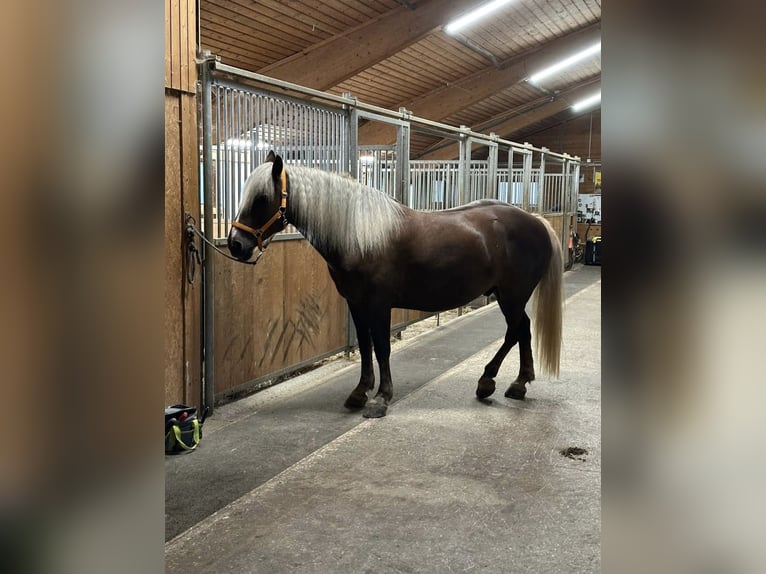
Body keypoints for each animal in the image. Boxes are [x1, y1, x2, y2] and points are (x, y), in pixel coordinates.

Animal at [228, 152, 563, 418]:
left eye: (261, 199)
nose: (235, 244)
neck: (361, 236)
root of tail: (536, 222)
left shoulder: (379, 305)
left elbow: (382, 348)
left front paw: (381, 398)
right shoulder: (356, 304)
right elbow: (365, 347)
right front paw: (360, 392)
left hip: (512, 296)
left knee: (516, 330)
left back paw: (489, 381)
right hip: (510, 297)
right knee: (523, 330)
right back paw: (518, 383)